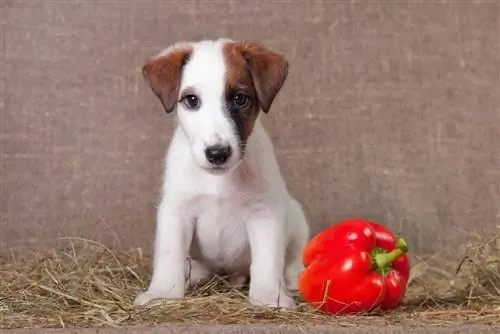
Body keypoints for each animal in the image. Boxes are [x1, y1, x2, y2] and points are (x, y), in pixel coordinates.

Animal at [135, 38, 310, 308]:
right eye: (192, 100)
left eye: (239, 98)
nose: (217, 153)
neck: (218, 181)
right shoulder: (176, 211)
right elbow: (169, 256)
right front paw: (162, 292)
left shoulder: (264, 213)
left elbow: (267, 262)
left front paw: (269, 296)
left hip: (297, 219)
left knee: (292, 258)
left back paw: (292, 279)